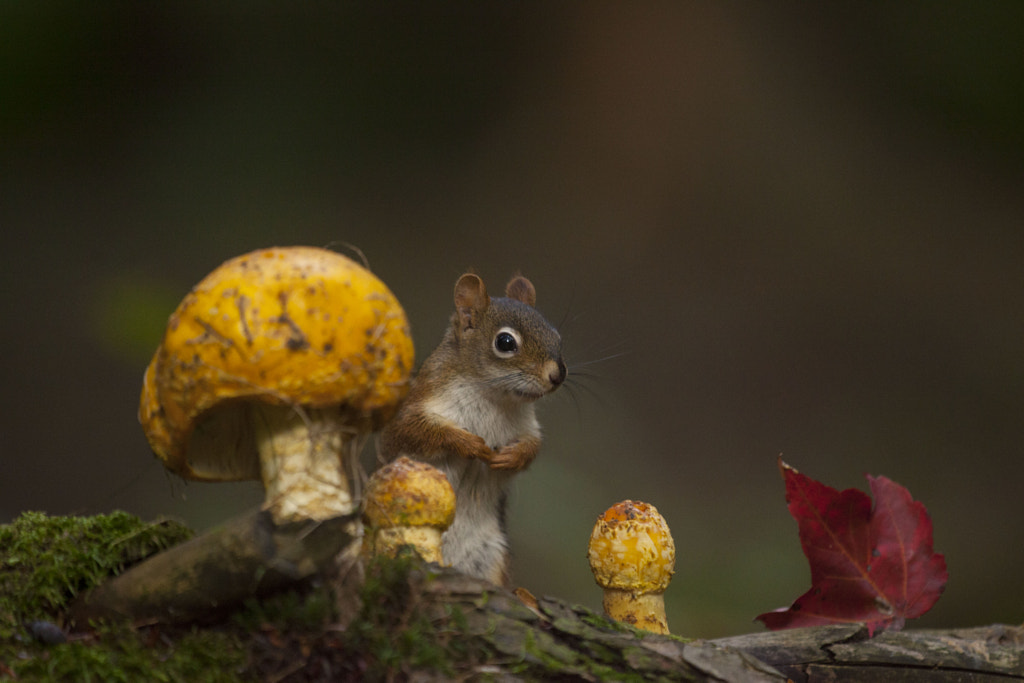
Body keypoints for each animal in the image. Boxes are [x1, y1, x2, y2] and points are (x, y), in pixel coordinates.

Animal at [380, 274, 565, 585]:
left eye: (557, 336)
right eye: (505, 342)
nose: (558, 376)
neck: (492, 396)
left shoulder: (527, 426)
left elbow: (531, 447)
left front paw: (511, 457)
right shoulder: (414, 407)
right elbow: (414, 433)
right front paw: (468, 443)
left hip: (493, 558)